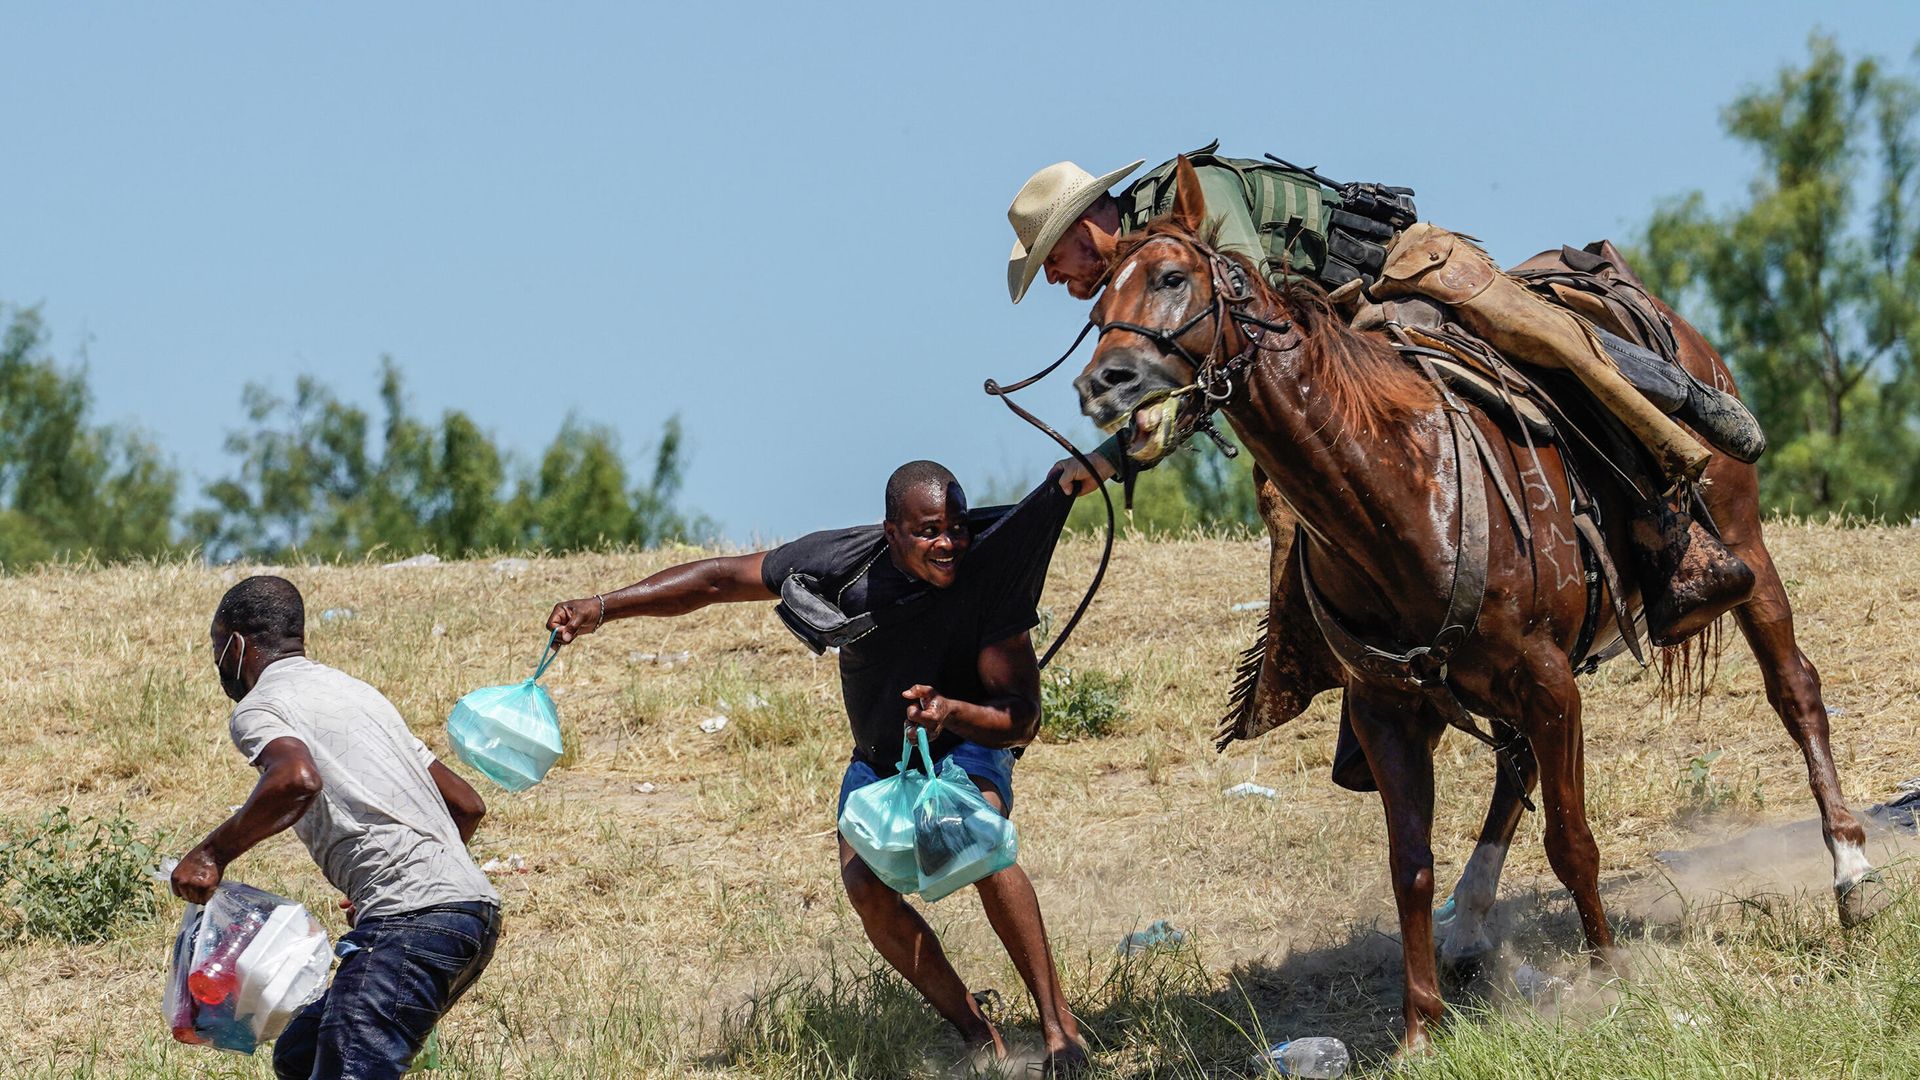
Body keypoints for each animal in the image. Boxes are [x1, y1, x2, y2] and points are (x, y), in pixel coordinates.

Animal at [1070, 157, 1886, 1052]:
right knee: (1513, 766)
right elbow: (1411, 866)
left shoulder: (1549, 682)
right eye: (1096, 307)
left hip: (1744, 547)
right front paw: (1420, 1029)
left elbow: (1572, 842)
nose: (1101, 383)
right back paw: (1468, 926)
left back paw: (1851, 869)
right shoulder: (1390, 708)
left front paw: (1609, 977)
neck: (1397, 484)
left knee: (1795, 689)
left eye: (1173, 278)